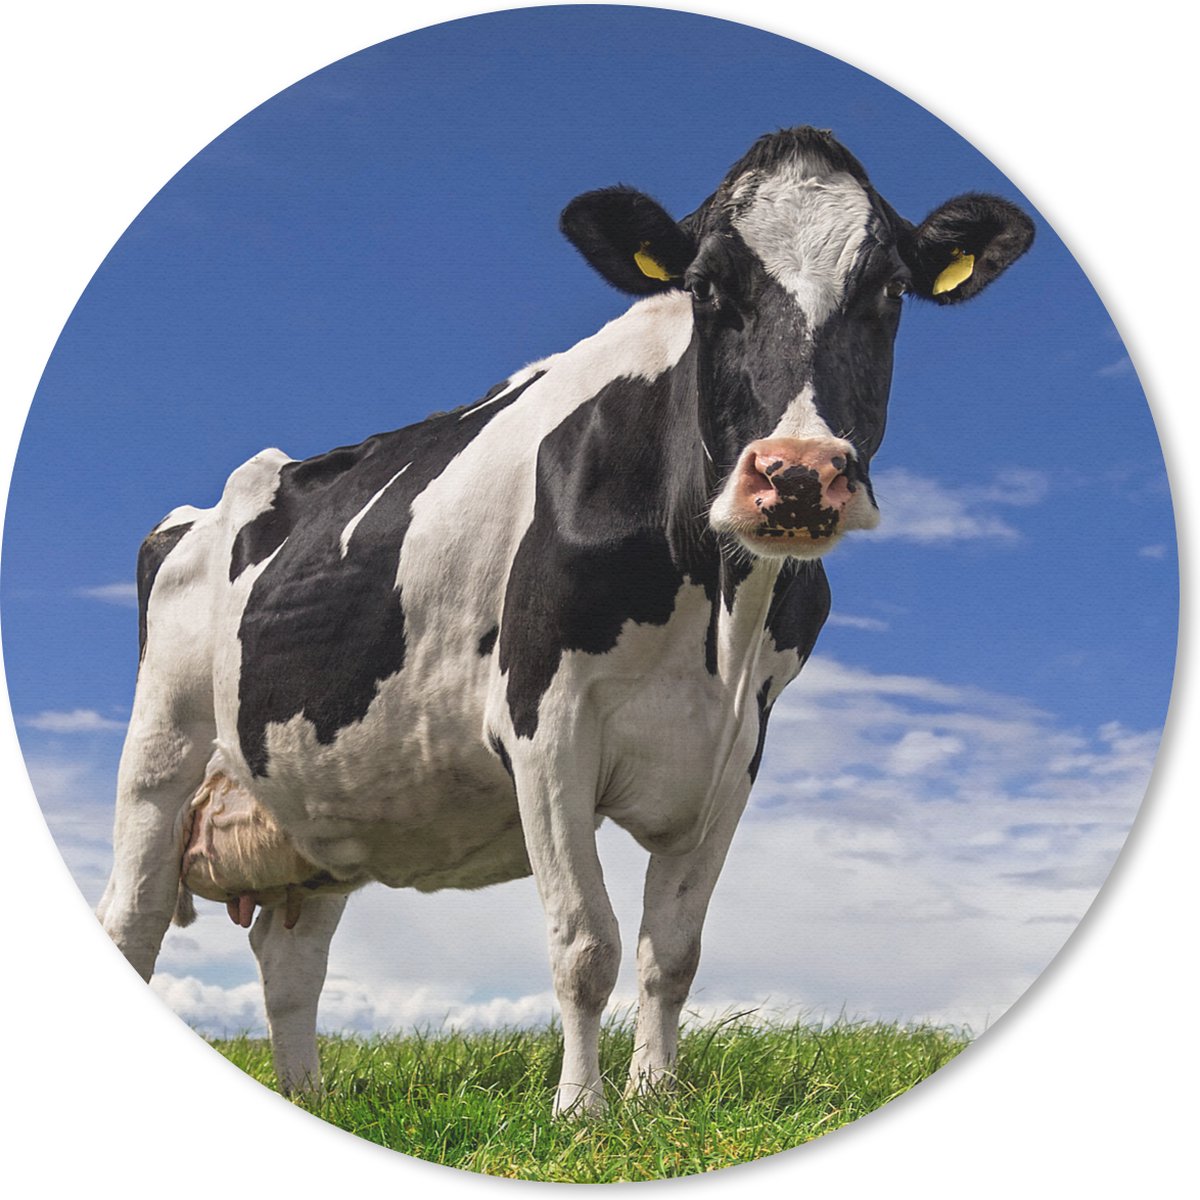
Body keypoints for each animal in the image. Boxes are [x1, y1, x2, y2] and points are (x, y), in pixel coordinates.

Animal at [97, 127, 1033, 1116]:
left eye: (887, 290)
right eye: (707, 287)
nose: (797, 475)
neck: (718, 615)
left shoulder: (736, 746)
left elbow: (673, 952)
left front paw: (657, 1101)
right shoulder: (545, 720)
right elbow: (588, 941)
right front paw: (581, 1111)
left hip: (316, 803)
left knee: (291, 956)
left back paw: (311, 1099)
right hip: (161, 753)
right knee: (135, 922)